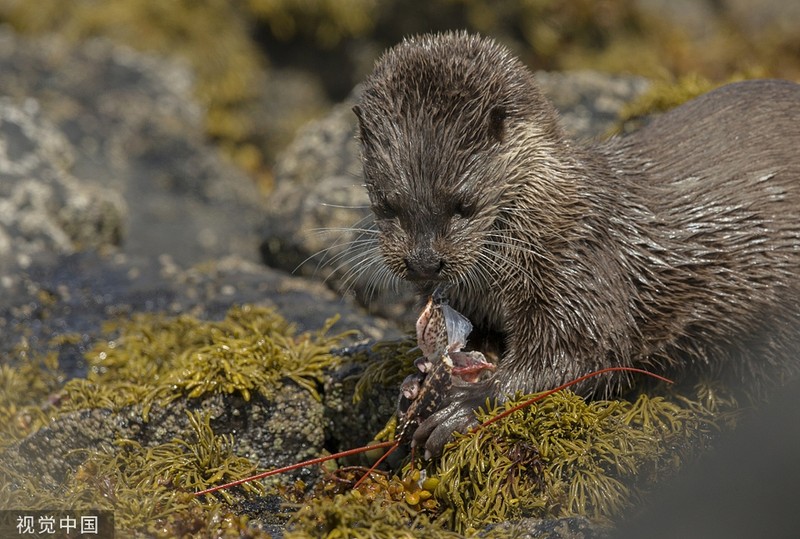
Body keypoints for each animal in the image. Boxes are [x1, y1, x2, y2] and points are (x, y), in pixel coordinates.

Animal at [354, 31, 800, 458]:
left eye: (464, 203)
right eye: (386, 204)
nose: (424, 263)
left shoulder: (582, 264)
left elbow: (579, 357)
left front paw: (464, 406)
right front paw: (417, 383)